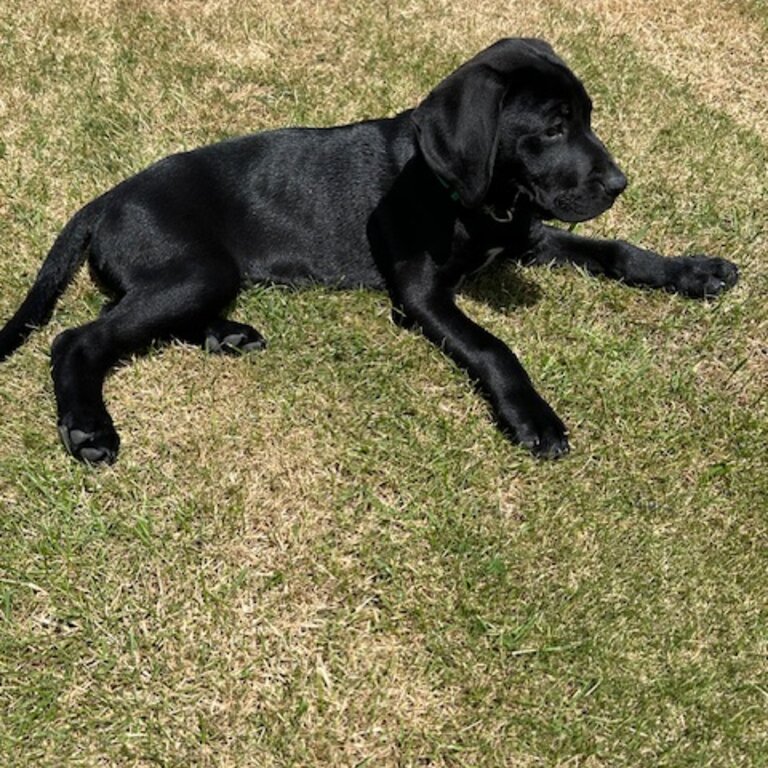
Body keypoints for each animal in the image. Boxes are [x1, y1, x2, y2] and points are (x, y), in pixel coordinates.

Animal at [0, 37, 736, 462]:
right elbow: (495, 346)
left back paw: (226, 334)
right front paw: (532, 415)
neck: (469, 200)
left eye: (585, 118)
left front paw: (693, 270)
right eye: (554, 127)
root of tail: (106, 198)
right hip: (196, 267)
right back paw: (89, 426)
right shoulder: (421, 293)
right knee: (79, 338)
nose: (618, 182)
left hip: (196, 276)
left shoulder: (524, 237)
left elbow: (617, 249)